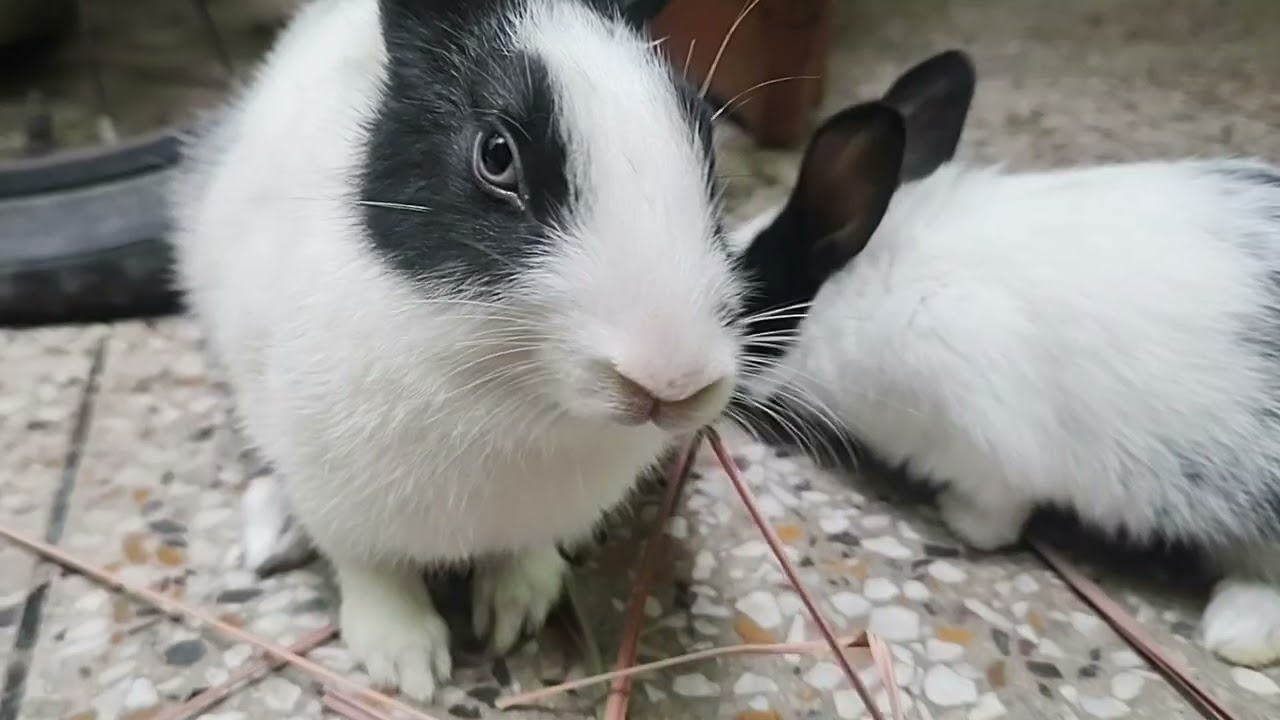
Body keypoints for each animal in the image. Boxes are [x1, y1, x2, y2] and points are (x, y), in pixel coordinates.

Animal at [170, 0, 747, 701]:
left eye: (702, 135)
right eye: (496, 155)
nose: (671, 380)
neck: (511, 395)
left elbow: (525, 553)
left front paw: (515, 614)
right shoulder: (334, 497)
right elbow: (370, 569)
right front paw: (405, 663)